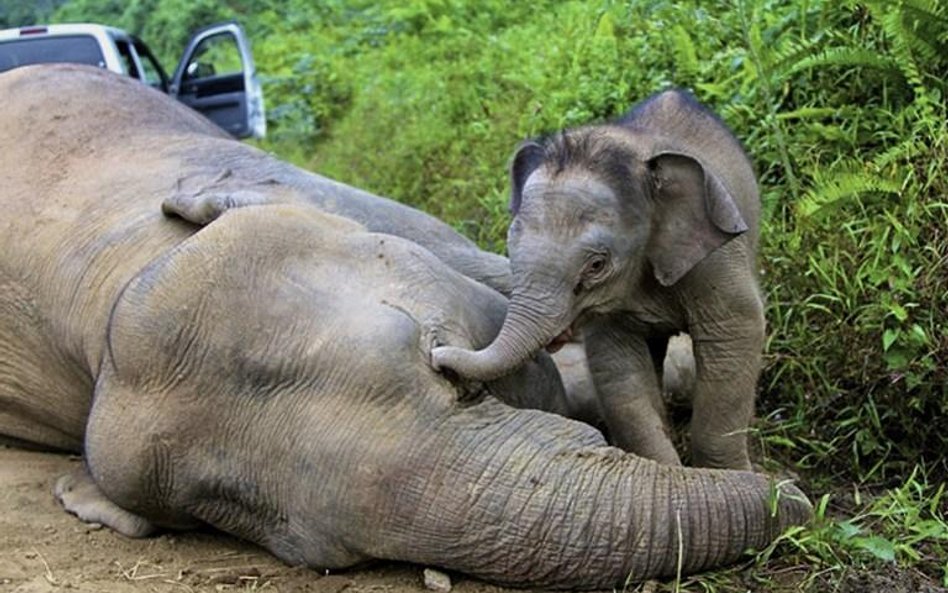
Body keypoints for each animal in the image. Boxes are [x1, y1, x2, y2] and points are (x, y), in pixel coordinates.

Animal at [436, 90, 764, 470]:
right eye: (509, 247)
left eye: (596, 265)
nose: (437, 357)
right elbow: (617, 366)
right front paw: (666, 470)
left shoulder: (716, 258)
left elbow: (735, 334)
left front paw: (732, 474)